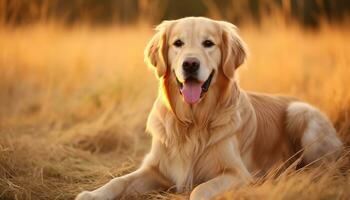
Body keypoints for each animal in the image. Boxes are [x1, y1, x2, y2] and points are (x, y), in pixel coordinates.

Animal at [76, 16, 342, 200]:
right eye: (178, 43)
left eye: (208, 43)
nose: (190, 64)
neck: (193, 122)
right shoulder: (156, 169)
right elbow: (118, 181)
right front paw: (92, 194)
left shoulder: (238, 174)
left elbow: (200, 190)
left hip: (301, 113)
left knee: (326, 167)